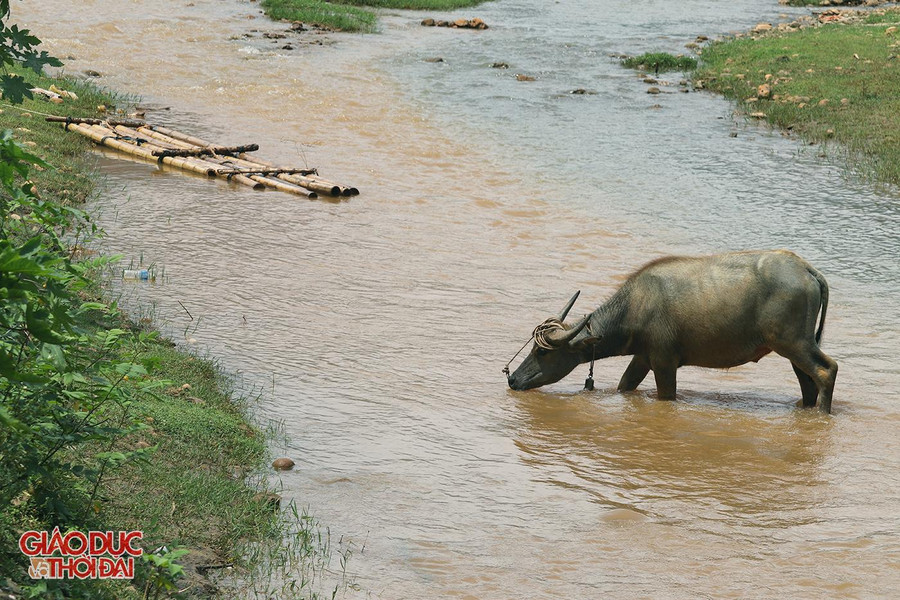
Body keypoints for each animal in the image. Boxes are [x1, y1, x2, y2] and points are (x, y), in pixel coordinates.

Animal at [510, 250, 840, 412]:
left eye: (541, 351)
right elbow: (624, 386)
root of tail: (808, 270)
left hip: (793, 342)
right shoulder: (643, 358)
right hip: (793, 347)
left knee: (827, 369)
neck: (635, 306)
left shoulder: (664, 362)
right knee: (807, 381)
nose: (513, 378)